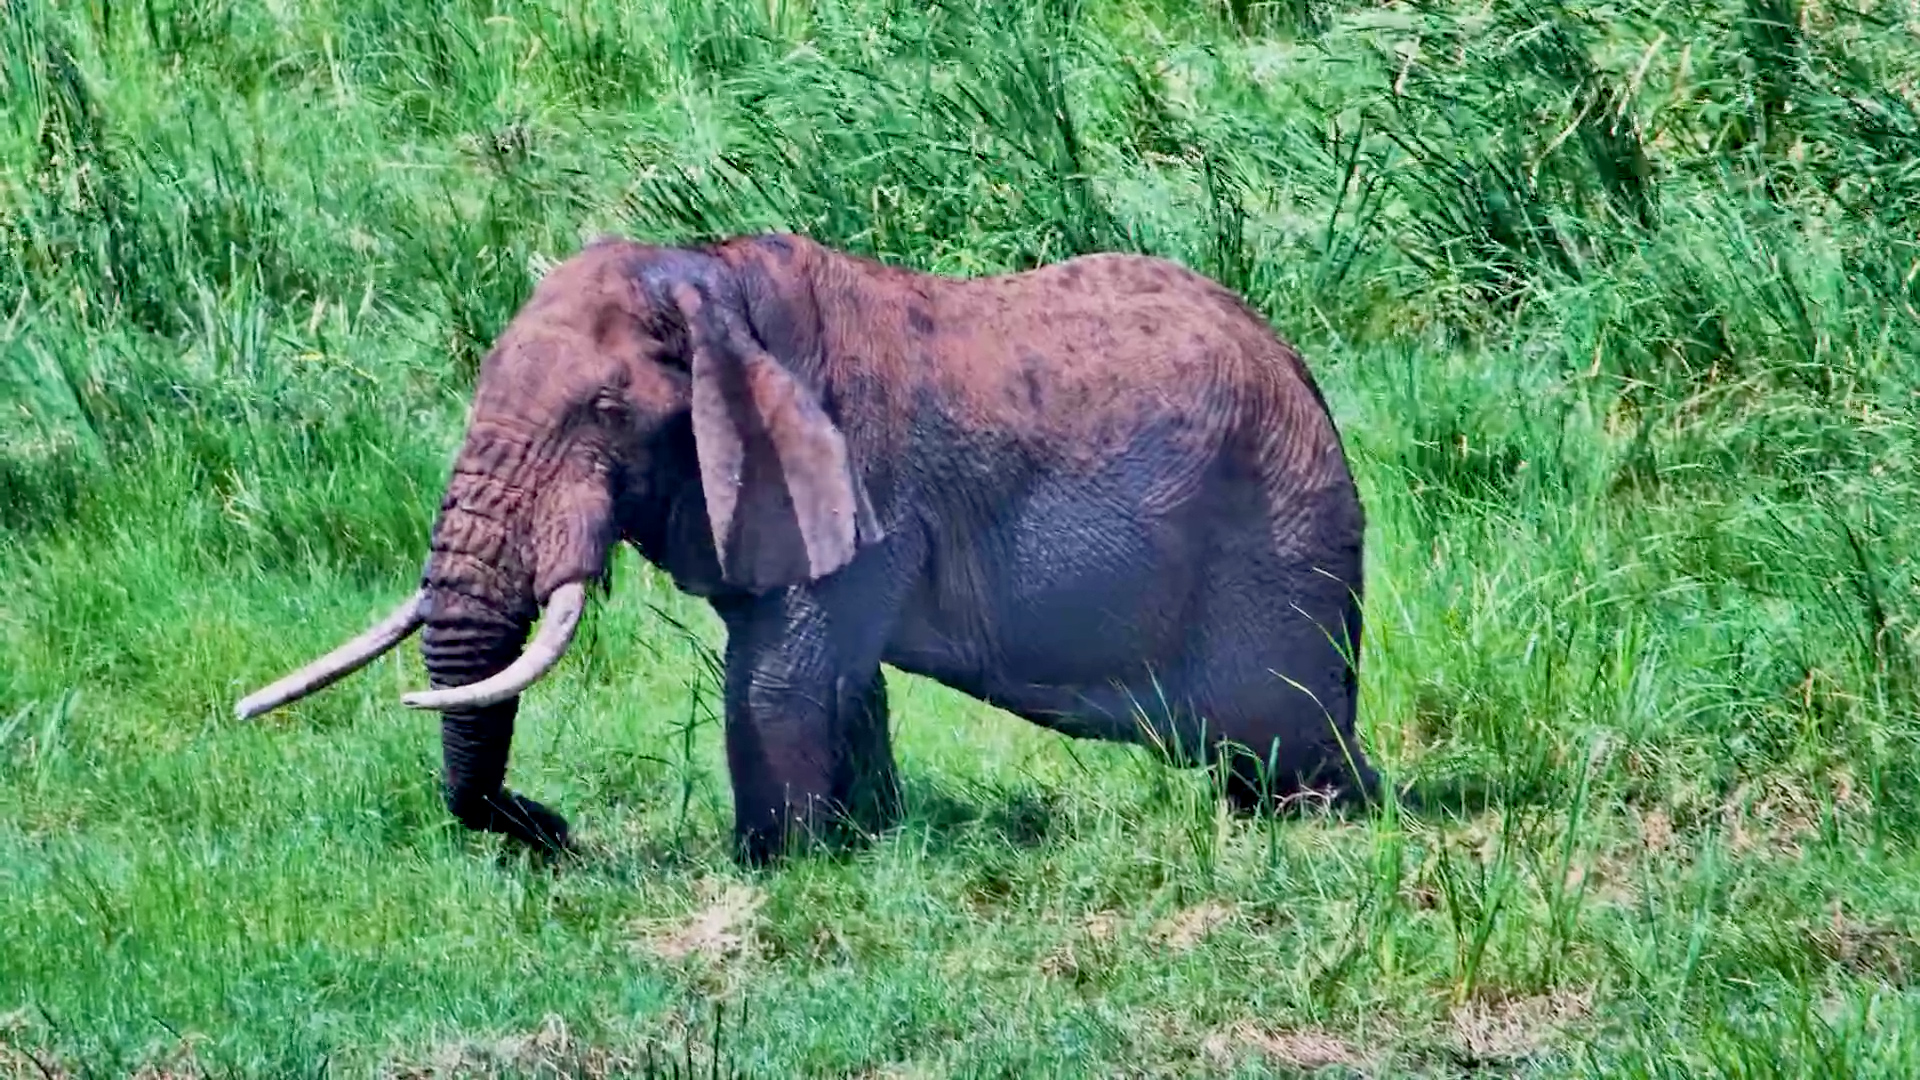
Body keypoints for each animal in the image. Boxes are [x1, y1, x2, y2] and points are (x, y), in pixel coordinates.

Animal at [233, 231, 1381, 863]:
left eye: (605, 411)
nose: (547, 826)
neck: (709, 277)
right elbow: (835, 677)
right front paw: (861, 841)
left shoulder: (857, 479)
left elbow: (776, 673)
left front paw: (776, 865)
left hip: (1279, 541)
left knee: (1281, 736)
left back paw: (1317, 820)